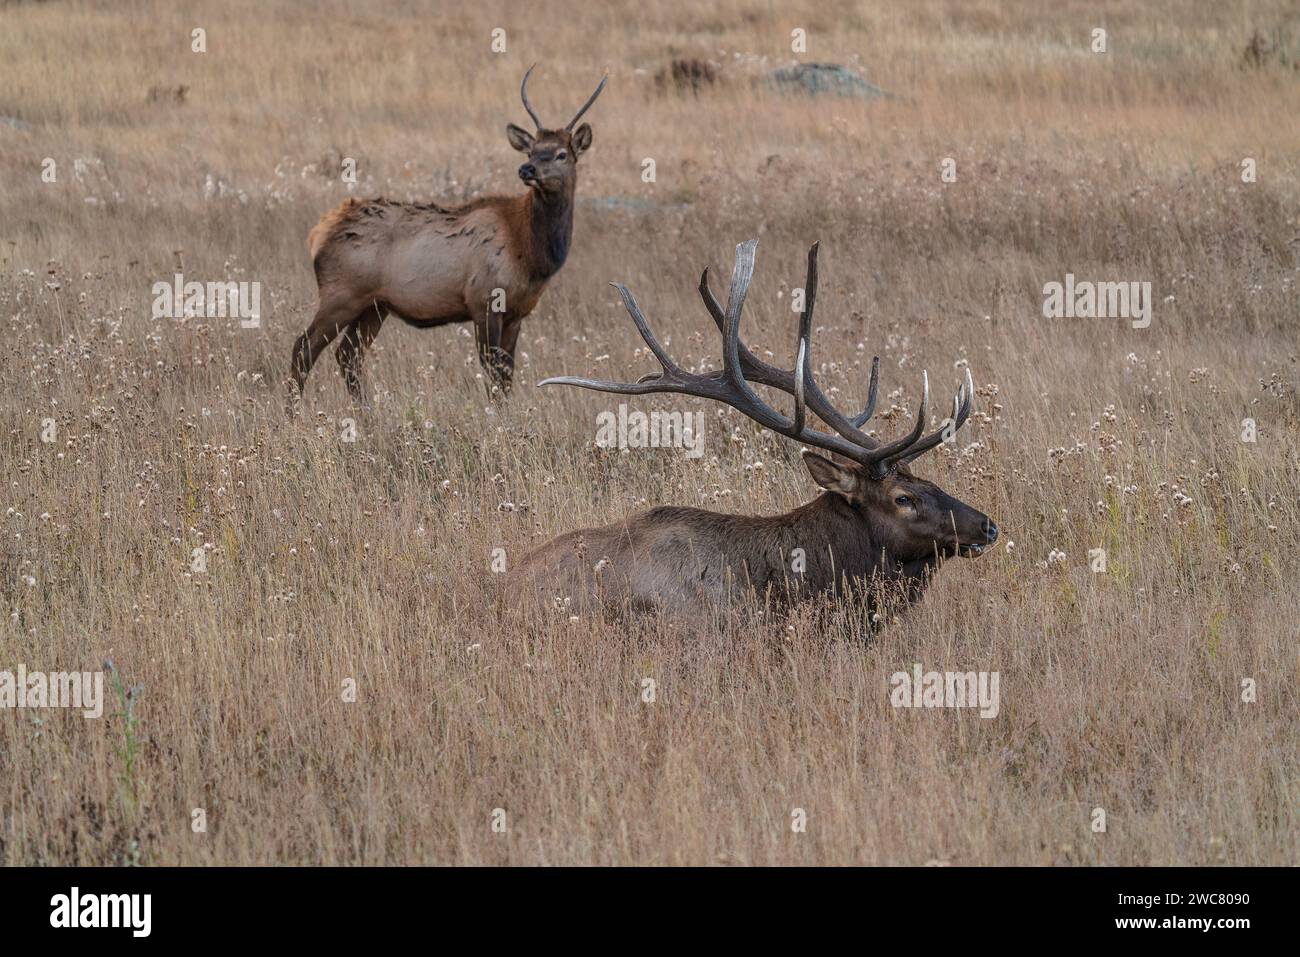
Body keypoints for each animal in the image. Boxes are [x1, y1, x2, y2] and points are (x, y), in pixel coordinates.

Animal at [288, 66, 607, 405]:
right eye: (532, 150)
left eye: (561, 154)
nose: (527, 169)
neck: (532, 254)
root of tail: (318, 232)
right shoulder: (484, 299)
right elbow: (493, 375)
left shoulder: (518, 312)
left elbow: (507, 375)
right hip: (341, 294)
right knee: (303, 348)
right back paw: (294, 410)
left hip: (374, 306)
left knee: (348, 355)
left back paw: (365, 411)